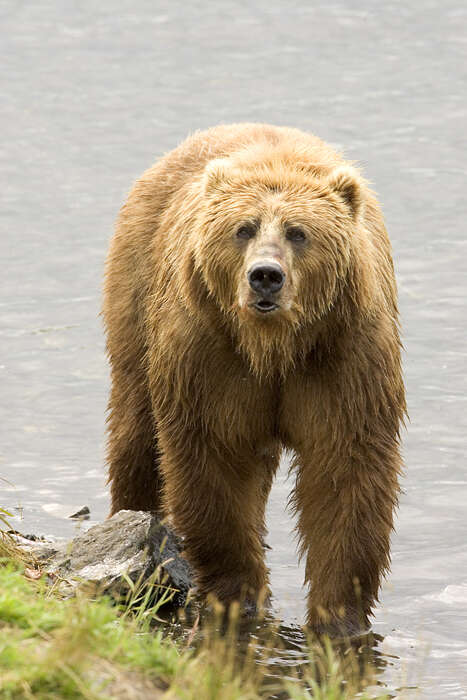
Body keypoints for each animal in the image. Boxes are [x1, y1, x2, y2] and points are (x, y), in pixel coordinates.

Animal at [103, 123, 406, 636]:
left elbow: (347, 470)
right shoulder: (210, 356)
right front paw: (239, 592)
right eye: (243, 228)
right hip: (137, 290)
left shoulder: (345, 357)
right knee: (137, 430)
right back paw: (130, 517)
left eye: (299, 233)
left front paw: (338, 615)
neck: (274, 347)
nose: (266, 276)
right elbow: (213, 462)